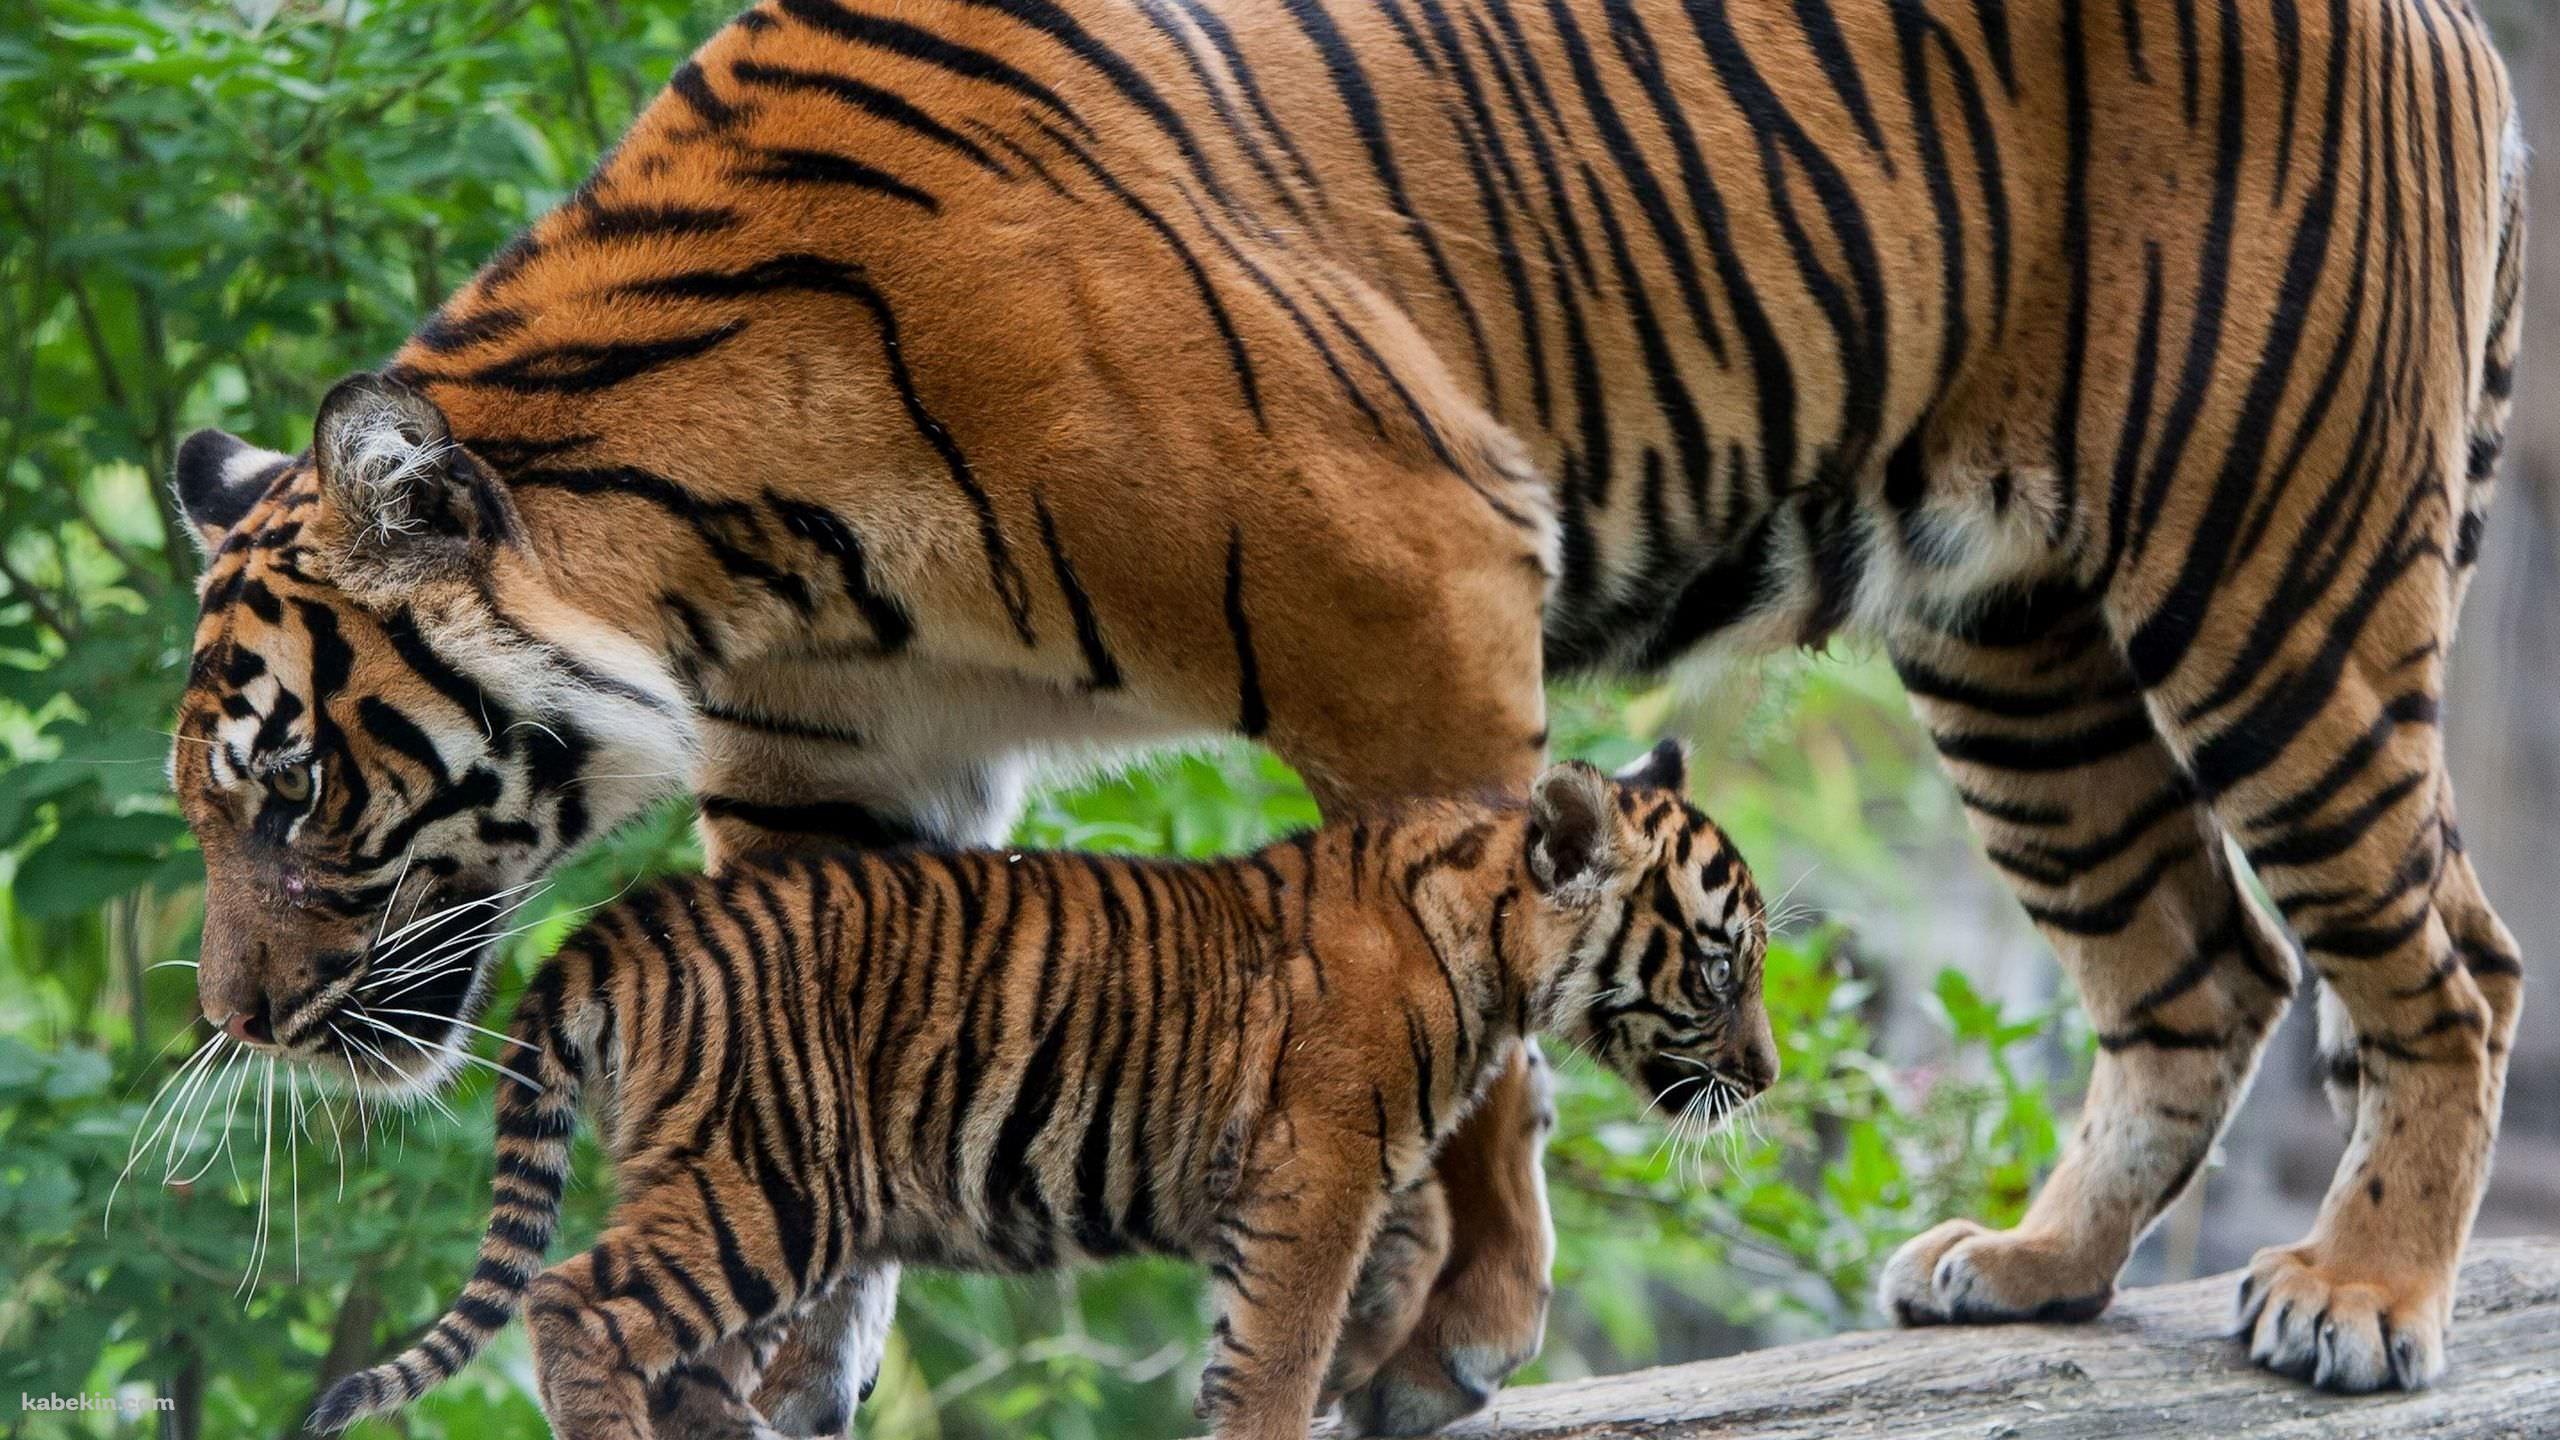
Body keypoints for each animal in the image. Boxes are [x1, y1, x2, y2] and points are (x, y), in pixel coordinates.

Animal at [297, 748, 1771, 1440]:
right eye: (1721, 964)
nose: (1760, 1075)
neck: (1487, 938)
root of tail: (620, 924)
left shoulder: (1327, 1164)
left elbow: (1405, 1250)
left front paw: (1376, 1363)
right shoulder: (1316, 1167)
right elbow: (1282, 1337)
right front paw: (1297, 1393)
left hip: (733, 1188)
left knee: (688, 1358)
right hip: (765, 1183)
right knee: (575, 1304)